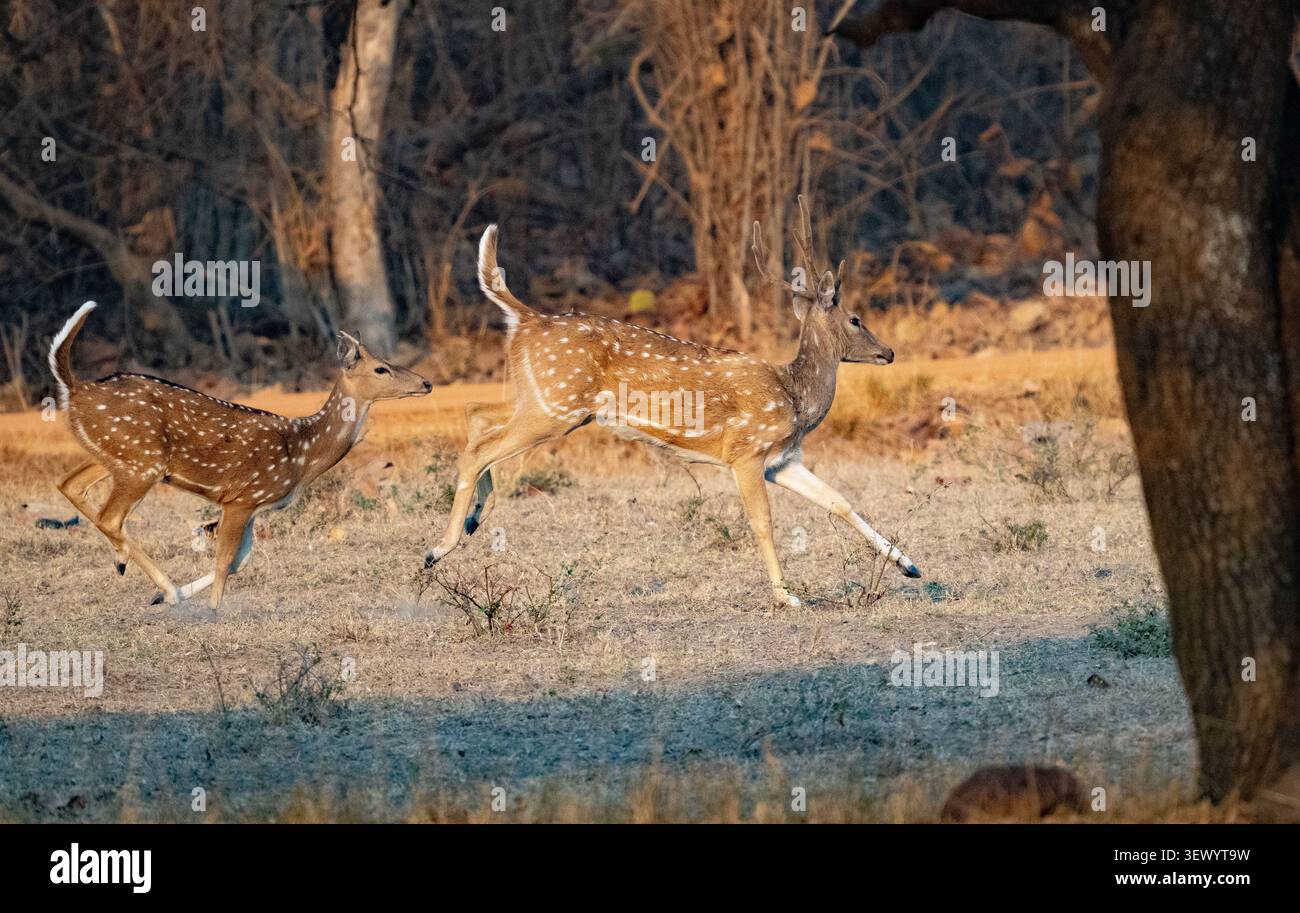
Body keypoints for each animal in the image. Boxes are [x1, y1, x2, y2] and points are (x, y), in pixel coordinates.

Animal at [48, 301, 432, 610]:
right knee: (109, 516)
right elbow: (225, 560)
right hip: (142, 462)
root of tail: (77, 388)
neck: (302, 454)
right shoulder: (242, 497)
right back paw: (167, 588)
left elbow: (239, 561)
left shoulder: (254, 506)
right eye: (381, 368)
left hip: (114, 454)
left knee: (69, 484)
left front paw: (175, 598)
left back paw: (131, 567)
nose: (426, 383)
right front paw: (212, 611)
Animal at [422, 198, 921, 607]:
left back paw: (473, 521)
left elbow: (840, 501)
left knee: (476, 414)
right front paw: (787, 597)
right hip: (557, 404)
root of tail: (526, 319)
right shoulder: (746, 452)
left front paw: (909, 565)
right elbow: (762, 522)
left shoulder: (782, 460)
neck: (795, 397)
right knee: (480, 448)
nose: (889, 352)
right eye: (855, 318)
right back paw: (437, 549)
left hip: (545, 400)